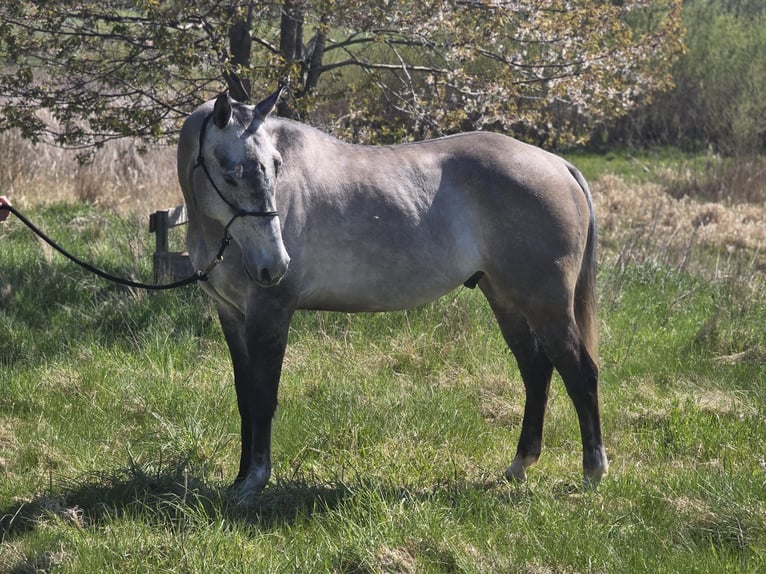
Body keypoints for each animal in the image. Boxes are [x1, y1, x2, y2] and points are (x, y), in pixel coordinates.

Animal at [176, 86, 608, 500]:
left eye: (277, 165)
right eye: (230, 174)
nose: (274, 265)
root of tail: (558, 166)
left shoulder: (270, 311)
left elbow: (263, 396)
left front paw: (255, 481)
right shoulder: (232, 314)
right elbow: (245, 396)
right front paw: (239, 479)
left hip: (545, 303)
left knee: (580, 372)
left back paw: (593, 472)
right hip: (505, 298)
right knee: (536, 370)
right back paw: (520, 465)